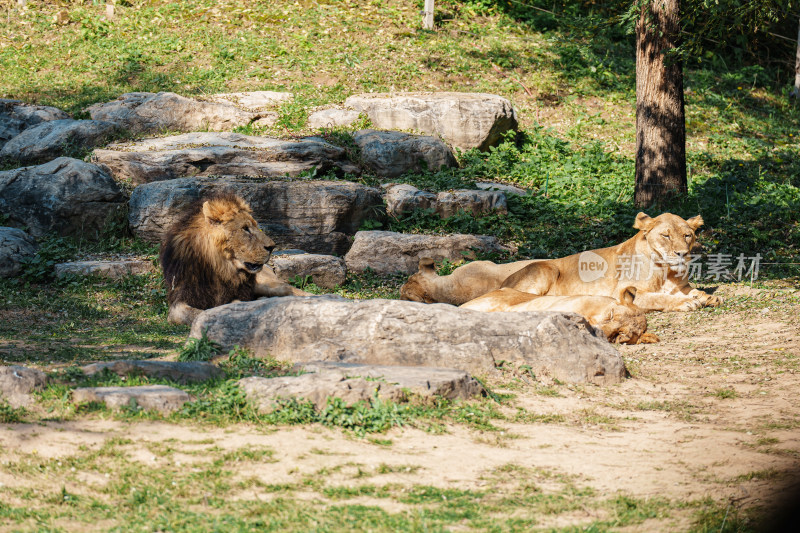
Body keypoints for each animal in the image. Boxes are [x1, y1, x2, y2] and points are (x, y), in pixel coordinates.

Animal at [159, 191, 310, 324]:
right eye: (245, 228)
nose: (272, 247)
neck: (221, 267)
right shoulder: (180, 297)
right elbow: (192, 313)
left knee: (289, 289)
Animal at [504, 212, 720, 312]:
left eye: (687, 235)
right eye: (666, 235)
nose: (682, 253)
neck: (665, 271)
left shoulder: (681, 287)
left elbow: (693, 291)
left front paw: (708, 297)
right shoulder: (625, 292)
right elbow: (659, 297)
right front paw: (687, 302)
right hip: (545, 268)